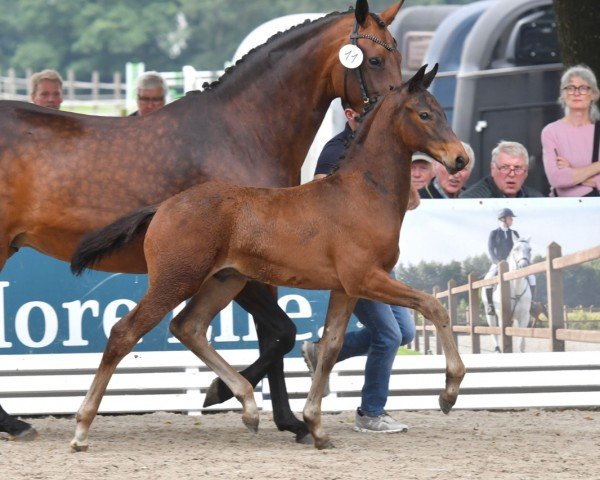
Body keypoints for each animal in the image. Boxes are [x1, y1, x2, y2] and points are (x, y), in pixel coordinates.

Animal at [0, 0, 408, 442]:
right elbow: (281, 333)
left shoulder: (262, 265)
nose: (390, 120)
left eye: (399, 58)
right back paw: (14, 423)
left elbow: (273, 337)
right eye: (375, 59)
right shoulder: (235, 266)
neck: (241, 132)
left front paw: (288, 420)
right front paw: (224, 394)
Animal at [71, 65, 468, 452]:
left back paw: (246, 405)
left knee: (188, 327)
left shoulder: (346, 288)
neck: (362, 193)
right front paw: (449, 393)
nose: (460, 158)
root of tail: (164, 206)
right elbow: (434, 306)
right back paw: (82, 429)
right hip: (175, 281)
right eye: (425, 114)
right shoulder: (367, 279)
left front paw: (316, 427)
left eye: (442, 111)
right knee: (124, 333)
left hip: (225, 281)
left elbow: (330, 347)